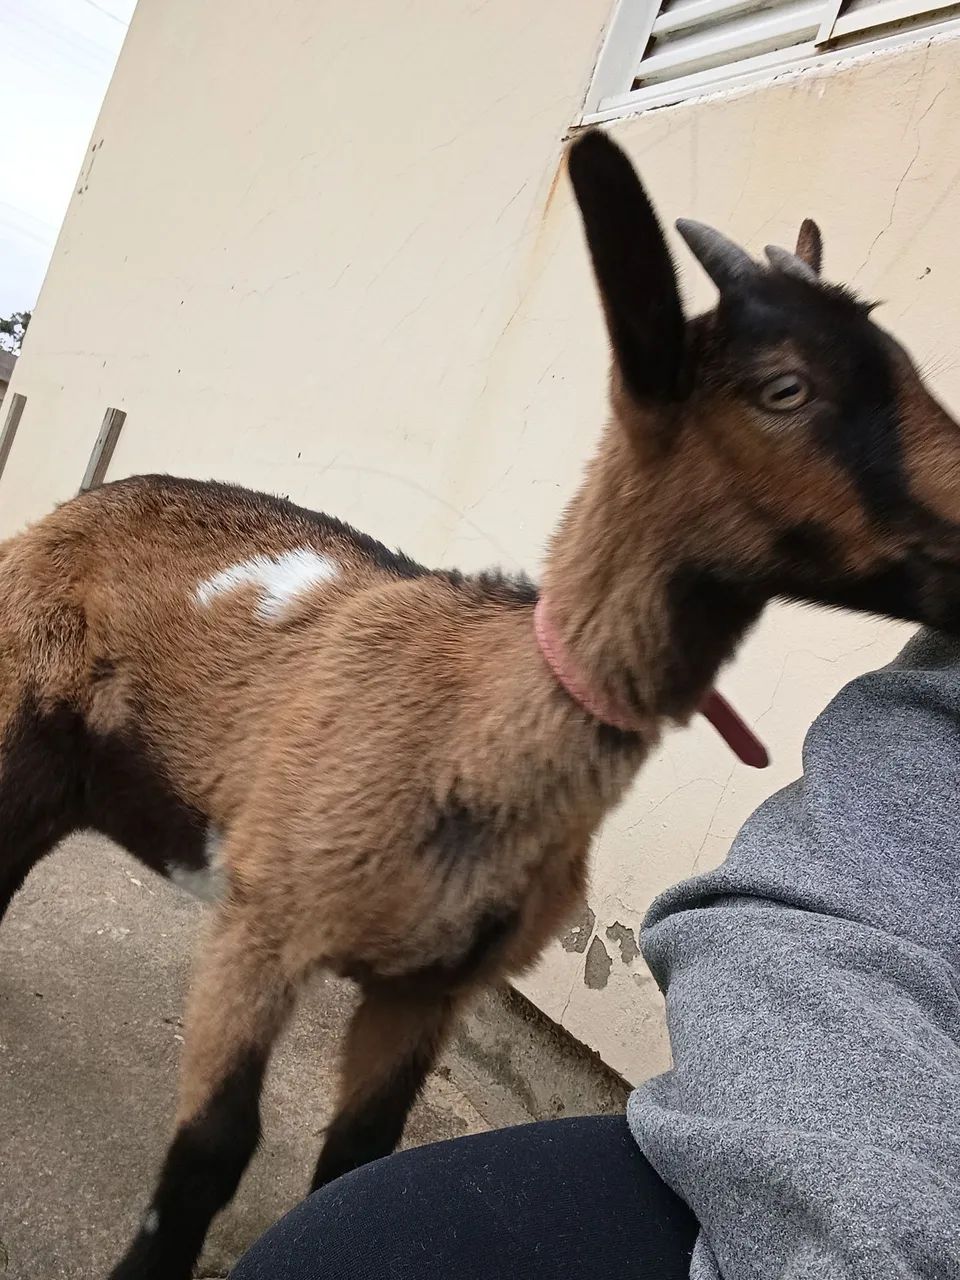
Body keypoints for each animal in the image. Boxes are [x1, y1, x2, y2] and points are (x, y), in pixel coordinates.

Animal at [3, 130, 960, 1280]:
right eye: (786, 389)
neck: (472, 733)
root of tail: (83, 498)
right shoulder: (262, 922)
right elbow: (213, 1148)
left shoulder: (430, 987)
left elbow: (358, 1153)